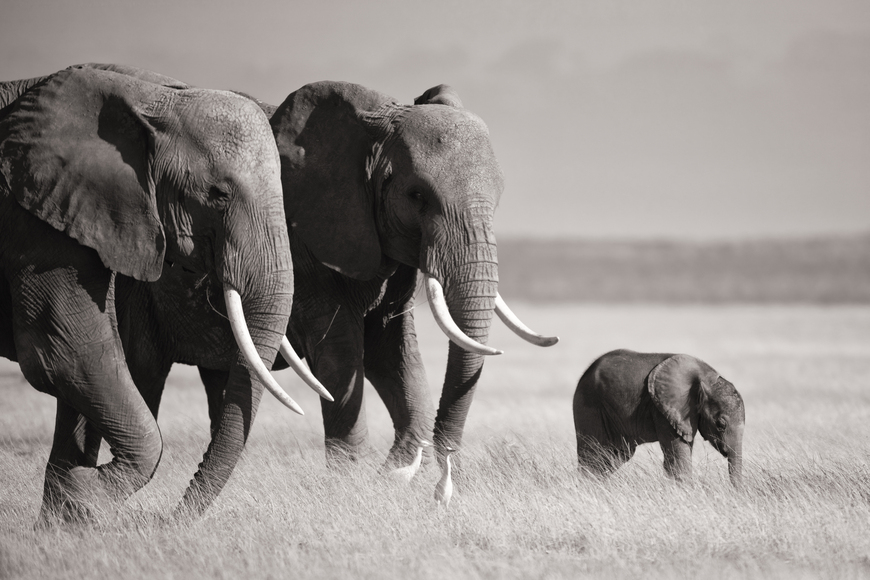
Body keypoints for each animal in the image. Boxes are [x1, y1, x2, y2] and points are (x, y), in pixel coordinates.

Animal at [0, 63, 317, 522]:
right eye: (218, 195)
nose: (173, 518)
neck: (149, 97)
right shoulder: (36, 224)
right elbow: (67, 354)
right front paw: (83, 497)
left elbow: (87, 359)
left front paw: (68, 516)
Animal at [572, 349, 745, 486]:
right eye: (720, 424)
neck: (706, 379)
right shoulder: (663, 410)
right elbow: (678, 458)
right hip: (589, 405)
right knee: (592, 455)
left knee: (613, 456)